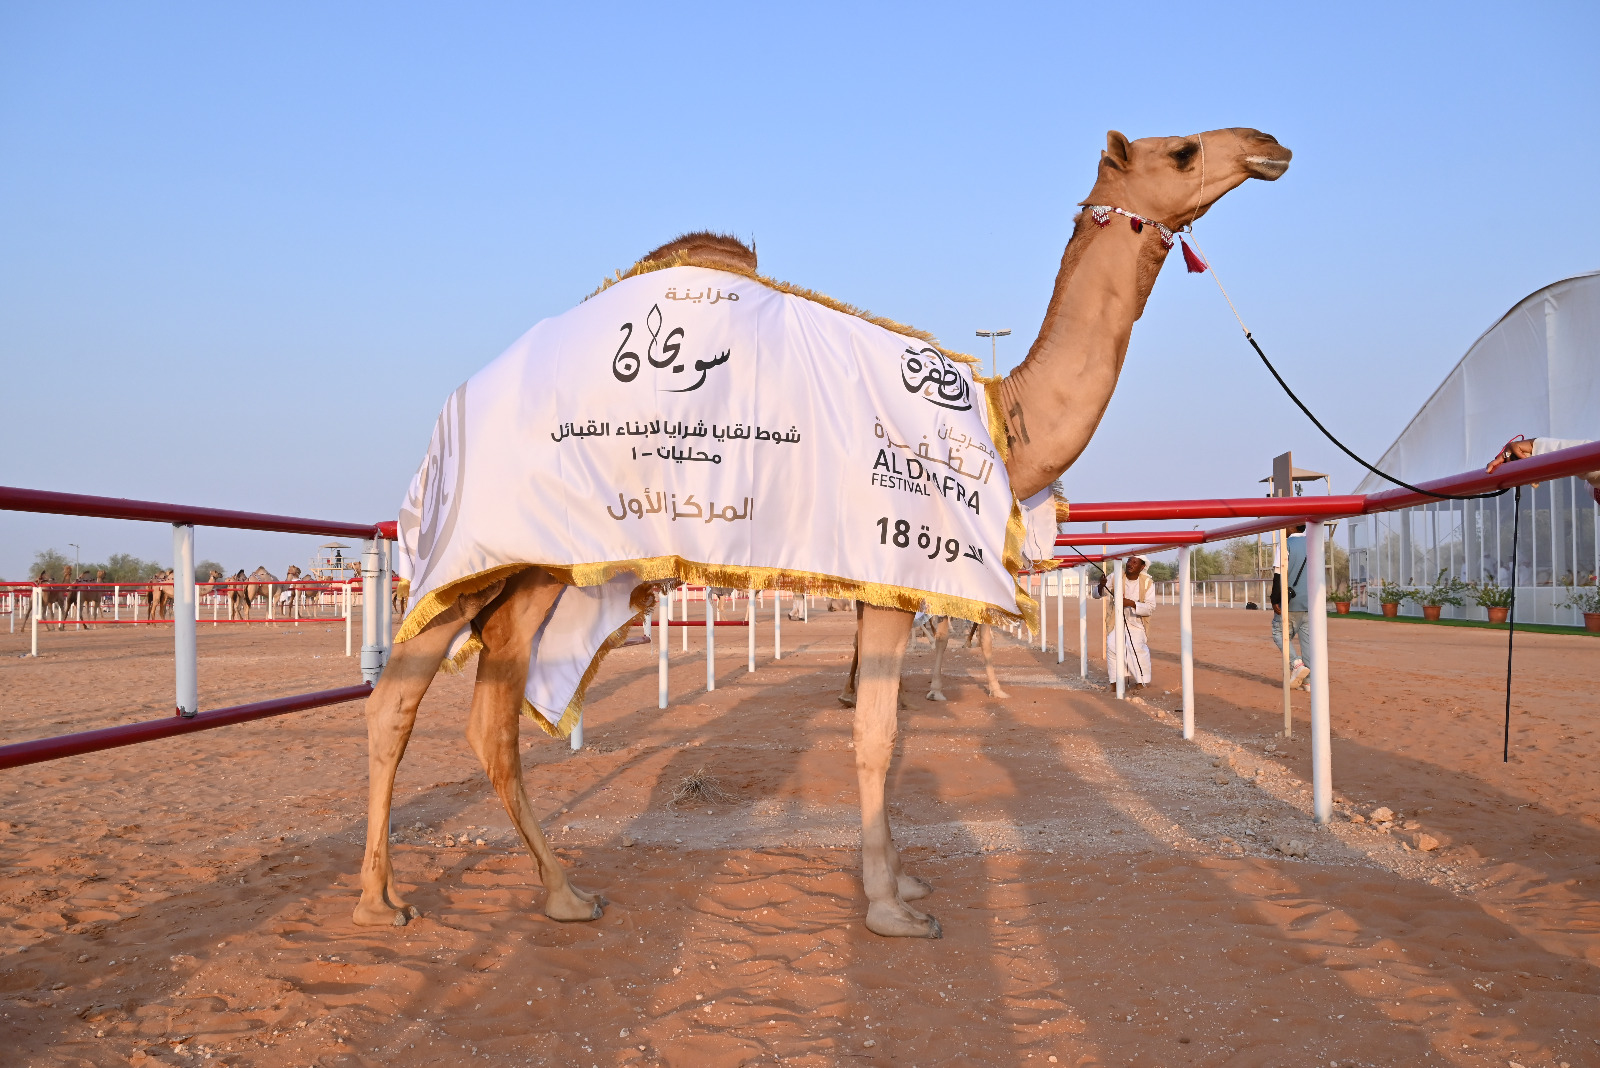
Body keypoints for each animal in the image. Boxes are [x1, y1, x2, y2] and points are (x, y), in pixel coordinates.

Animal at [350, 129, 1286, 940]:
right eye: (1183, 151)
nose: (1267, 145)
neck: (998, 420)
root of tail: (457, 401)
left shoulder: (892, 579)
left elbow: (888, 727)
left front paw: (903, 879)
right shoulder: (896, 568)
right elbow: (876, 733)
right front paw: (891, 908)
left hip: (526, 563)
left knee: (462, 704)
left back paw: (503, 892)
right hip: (496, 546)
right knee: (425, 698)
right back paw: (433, 898)